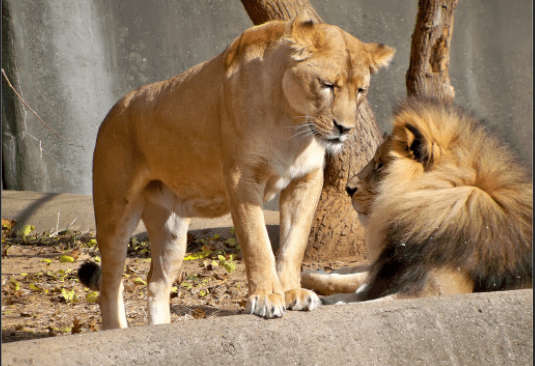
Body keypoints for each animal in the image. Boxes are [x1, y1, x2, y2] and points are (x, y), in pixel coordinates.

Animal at [78, 15, 398, 328]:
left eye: (361, 90)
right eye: (327, 84)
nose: (345, 129)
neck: (291, 122)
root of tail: (113, 110)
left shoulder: (305, 179)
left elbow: (294, 243)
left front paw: (292, 292)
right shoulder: (242, 179)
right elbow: (257, 242)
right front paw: (266, 297)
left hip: (172, 230)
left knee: (156, 283)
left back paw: (160, 328)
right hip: (115, 214)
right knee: (109, 285)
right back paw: (116, 330)